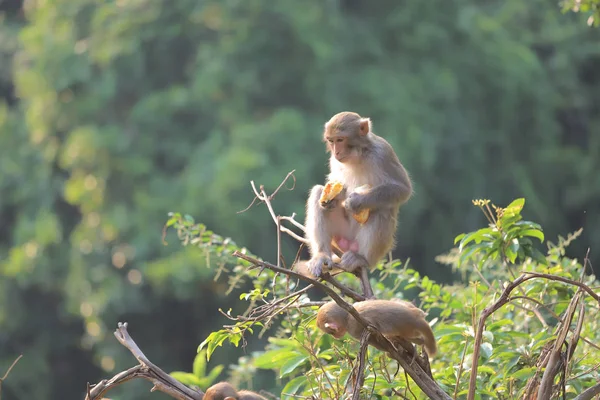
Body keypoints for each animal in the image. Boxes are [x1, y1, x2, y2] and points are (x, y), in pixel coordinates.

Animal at [300, 111, 412, 298]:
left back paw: (361, 259)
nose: (336, 151)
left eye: (340, 139)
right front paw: (334, 197)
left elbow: (402, 189)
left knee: (381, 209)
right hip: (340, 235)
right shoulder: (334, 161)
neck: (358, 155)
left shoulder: (383, 153)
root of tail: (348, 245)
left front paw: (356, 201)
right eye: (331, 140)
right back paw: (322, 255)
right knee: (317, 192)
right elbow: (334, 183)